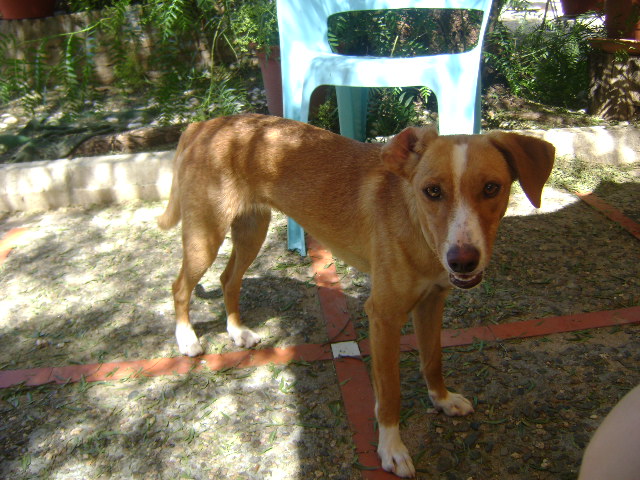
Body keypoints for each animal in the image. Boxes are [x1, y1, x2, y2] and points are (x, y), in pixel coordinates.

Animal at [158, 112, 552, 476]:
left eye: (492, 188)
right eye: (432, 191)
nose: (463, 260)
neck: (416, 225)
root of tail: (204, 124)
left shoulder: (431, 303)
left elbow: (432, 360)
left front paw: (441, 399)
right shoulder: (384, 316)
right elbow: (389, 393)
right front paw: (391, 449)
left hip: (251, 229)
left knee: (229, 279)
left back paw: (237, 330)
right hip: (205, 235)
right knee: (179, 287)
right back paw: (187, 339)